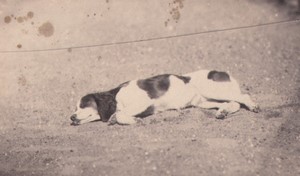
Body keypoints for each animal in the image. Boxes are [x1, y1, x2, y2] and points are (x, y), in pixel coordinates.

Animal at [69, 70, 258, 125]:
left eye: (83, 104)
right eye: (75, 107)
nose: (71, 117)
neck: (117, 96)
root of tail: (222, 72)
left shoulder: (144, 102)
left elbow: (120, 114)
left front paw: (132, 120)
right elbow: (119, 114)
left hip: (212, 90)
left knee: (243, 96)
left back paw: (253, 106)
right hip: (203, 102)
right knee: (233, 103)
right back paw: (222, 112)